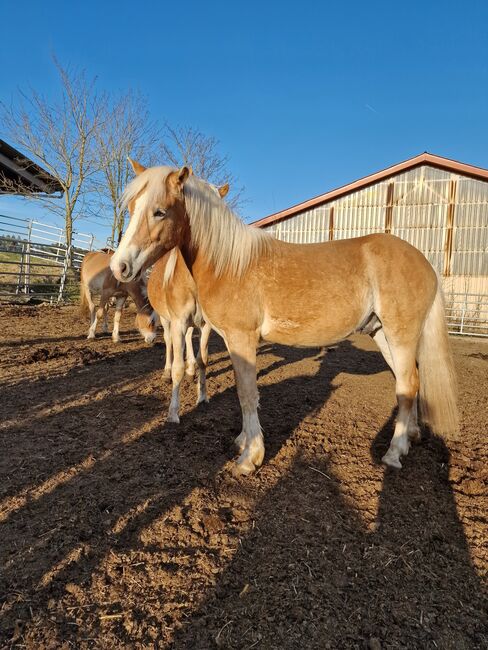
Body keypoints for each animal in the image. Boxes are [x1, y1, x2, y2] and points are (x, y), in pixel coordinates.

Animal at [146, 179, 229, 422]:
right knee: (169, 343)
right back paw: (166, 371)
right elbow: (177, 366)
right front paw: (173, 413)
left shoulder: (206, 325)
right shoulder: (177, 321)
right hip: (166, 319)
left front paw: (202, 396)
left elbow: (203, 359)